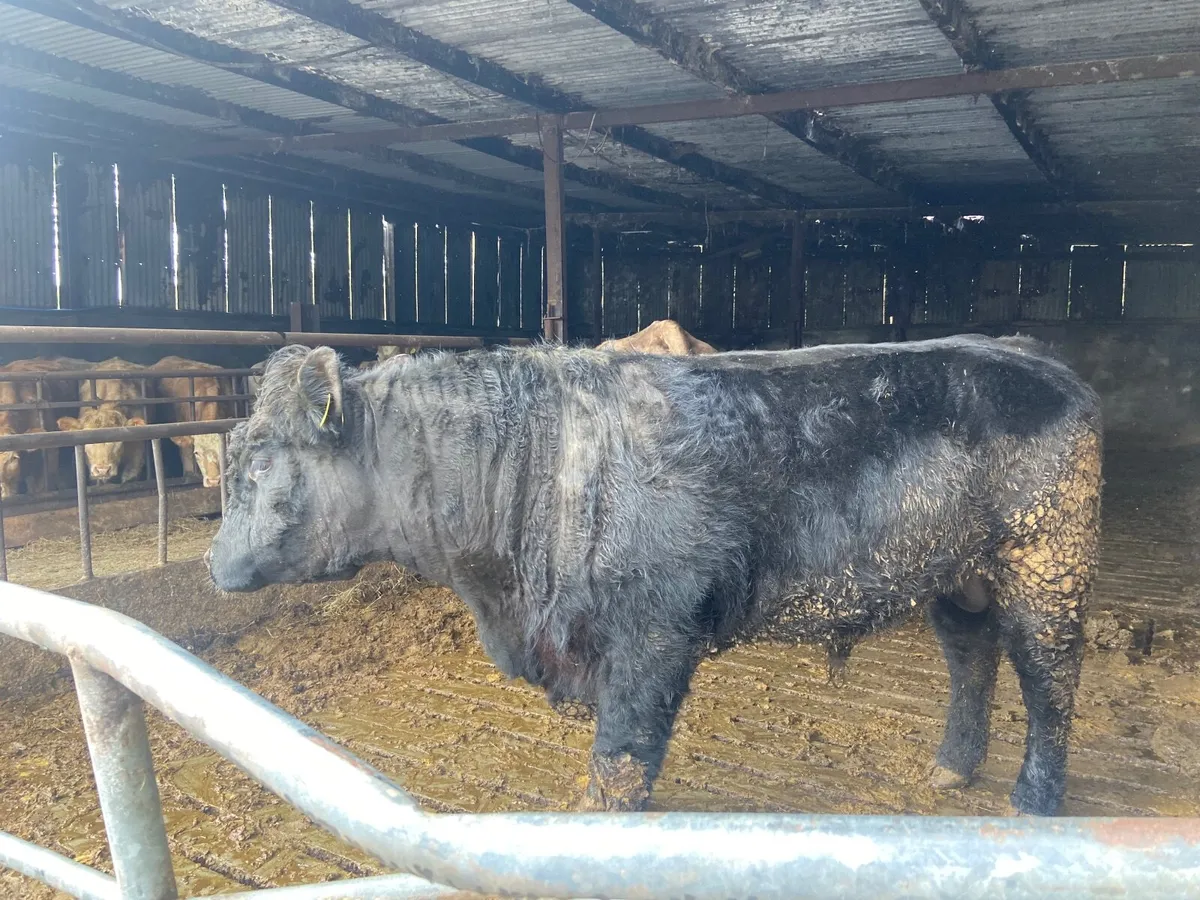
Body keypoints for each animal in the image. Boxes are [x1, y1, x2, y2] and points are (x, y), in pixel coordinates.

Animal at [206, 334, 1102, 817]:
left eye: (259, 462)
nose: (213, 564)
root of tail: (1029, 357)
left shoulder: (653, 638)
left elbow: (621, 759)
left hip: (1046, 569)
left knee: (1050, 683)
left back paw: (1032, 798)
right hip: (960, 576)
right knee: (972, 657)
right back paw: (952, 766)